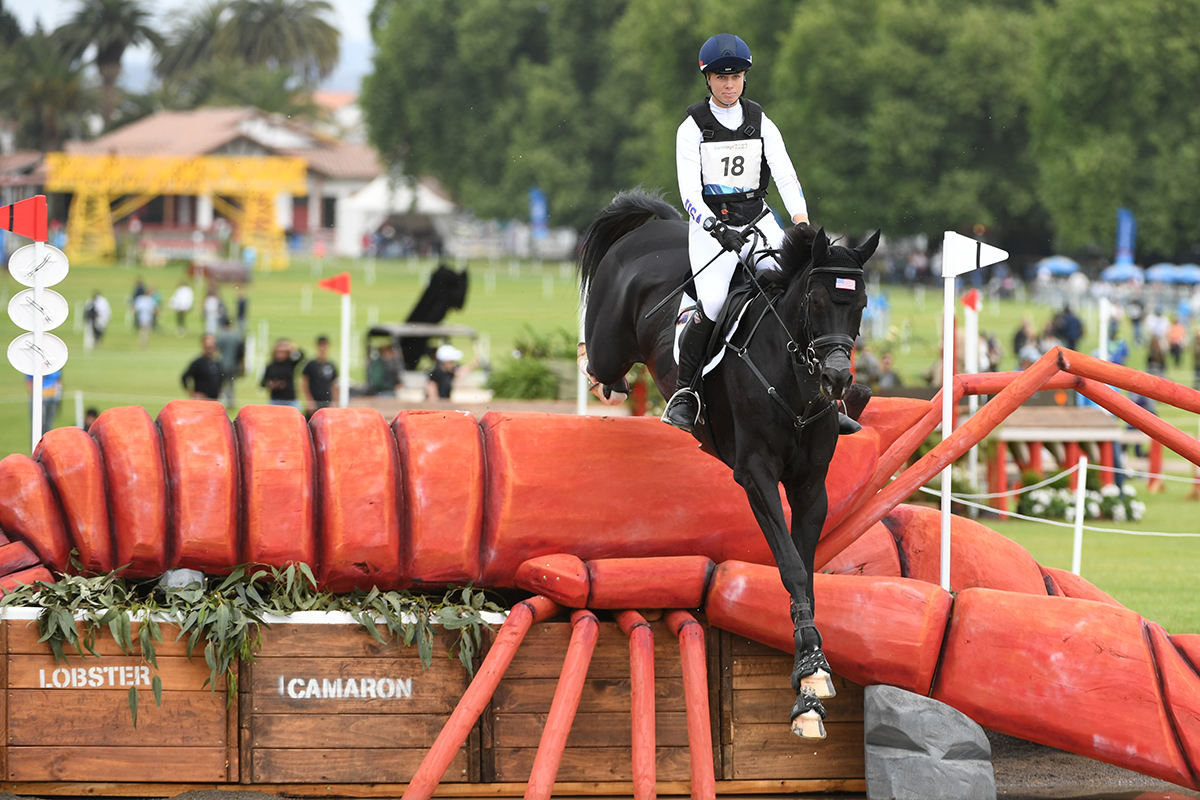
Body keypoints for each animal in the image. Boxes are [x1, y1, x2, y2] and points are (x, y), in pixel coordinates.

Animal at [576, 190, 878, 743]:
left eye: (861, 304)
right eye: (816, 302)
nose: (837, 380)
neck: (794, 379)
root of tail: (657, 226)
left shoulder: (810, 488)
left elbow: (804, 571)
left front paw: (808, 688)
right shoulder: (755, 474)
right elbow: (792, 566)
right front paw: (812, 670)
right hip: (611, 343)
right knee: (598, 359)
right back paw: (615, 387)